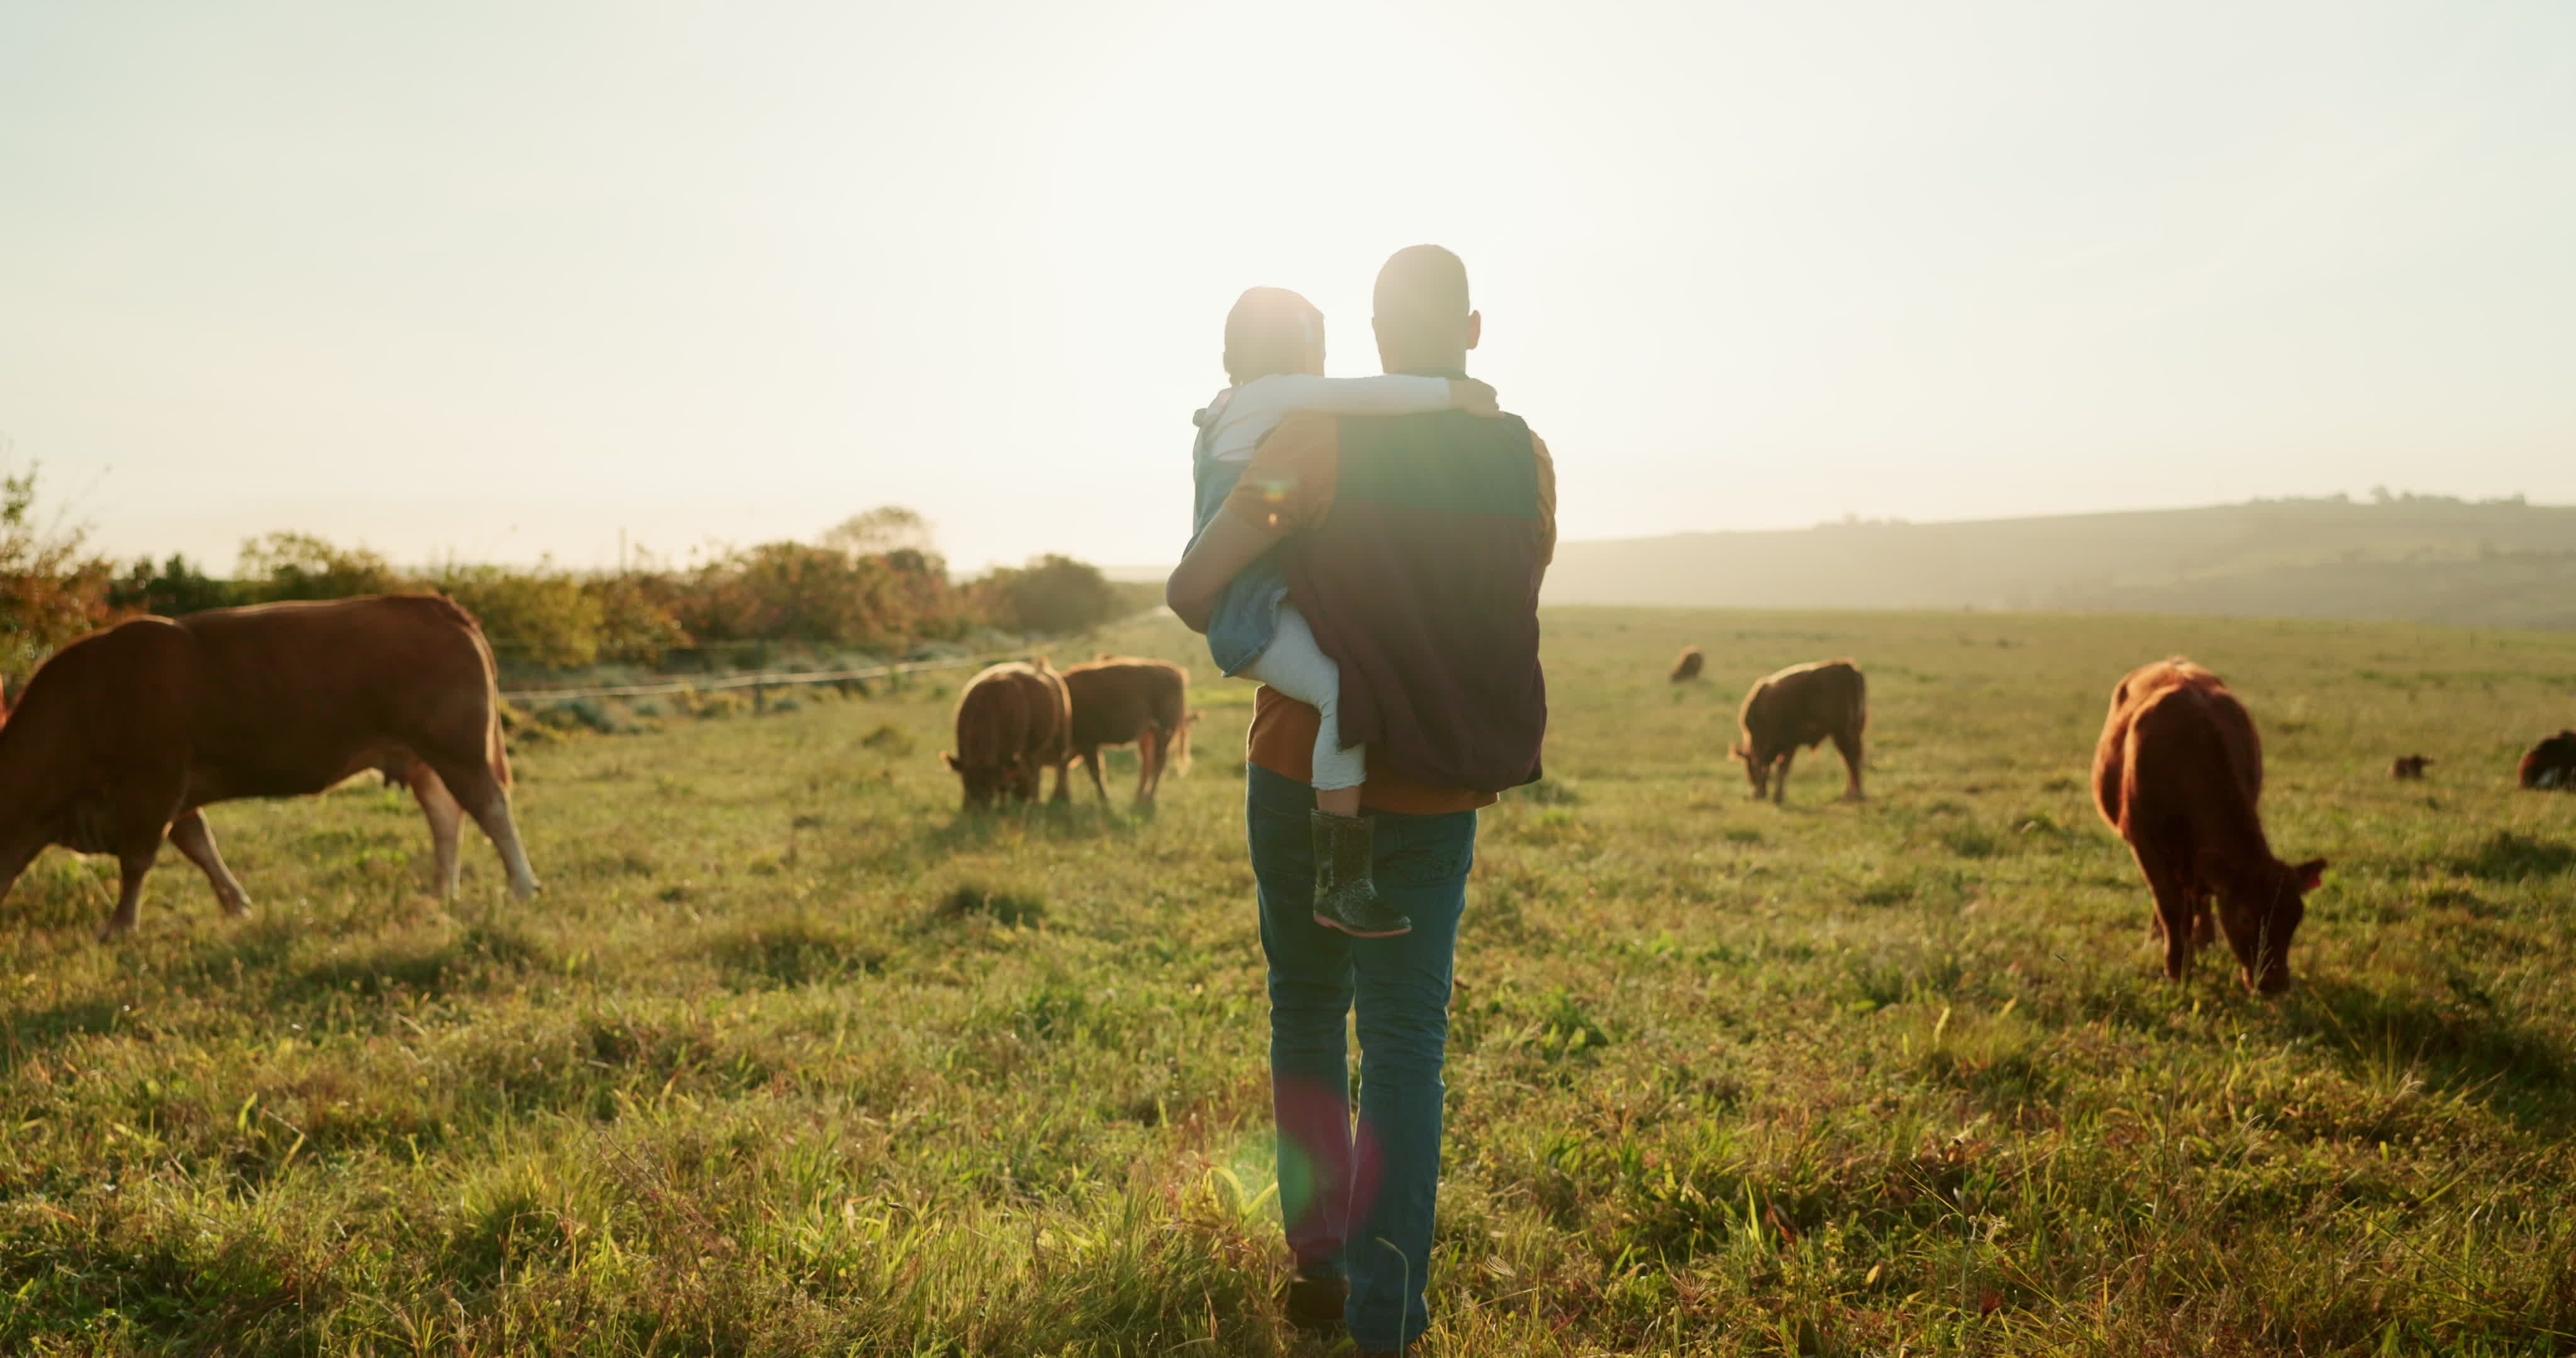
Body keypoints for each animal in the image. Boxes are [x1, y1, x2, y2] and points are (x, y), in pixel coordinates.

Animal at [0, 600, 535, 943]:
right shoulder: (176, 793)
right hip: (424, 759)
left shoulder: (154, 782)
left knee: (491, 808)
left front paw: (119, 928)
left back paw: (523, 887)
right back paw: (443, 892)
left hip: (457, 749)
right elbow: (199, 845)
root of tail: (434, 604)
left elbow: (137, 861)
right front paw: (236, 904)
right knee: (447, 817)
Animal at [943, 665, 1071, 814]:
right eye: (966, 783)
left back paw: (1056, 798)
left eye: (989, 784)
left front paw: (1003, 808)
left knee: (1058, 769)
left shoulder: (1008, 757)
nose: (977, 812)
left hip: (1058, 740)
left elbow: (1005, 784)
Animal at [1056, 660, 1195, 809]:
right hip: (1148, 736)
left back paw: (1149, 798)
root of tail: (1177, 672)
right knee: (1148, 765)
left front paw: (1105, 800)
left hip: (1163, 734)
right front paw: (1059, 795)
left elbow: (1095, 772)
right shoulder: (1084, 746)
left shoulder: (1087, 744)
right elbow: (1065, 766)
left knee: (1158, 765)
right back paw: (1140, 798)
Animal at [1731, 660, 1875, 803]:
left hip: (1843, 732)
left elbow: (1781, 768)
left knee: (1851, 759)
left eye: (1749, 768)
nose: (1757, 795)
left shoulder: (1789, 743)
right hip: (1851, 731)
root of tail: (1847, 667)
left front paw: (1777, 796)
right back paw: (1852, 794)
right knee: (1851, 760)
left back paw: (1855, 795)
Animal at [2081, 660, 2328, 995]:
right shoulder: (2144, 843)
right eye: (2245, 918)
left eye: (2295, 918)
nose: (2274, 983)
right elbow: (2169, 904)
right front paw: (2176, 967)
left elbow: (2198, 896)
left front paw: (2194, 948)